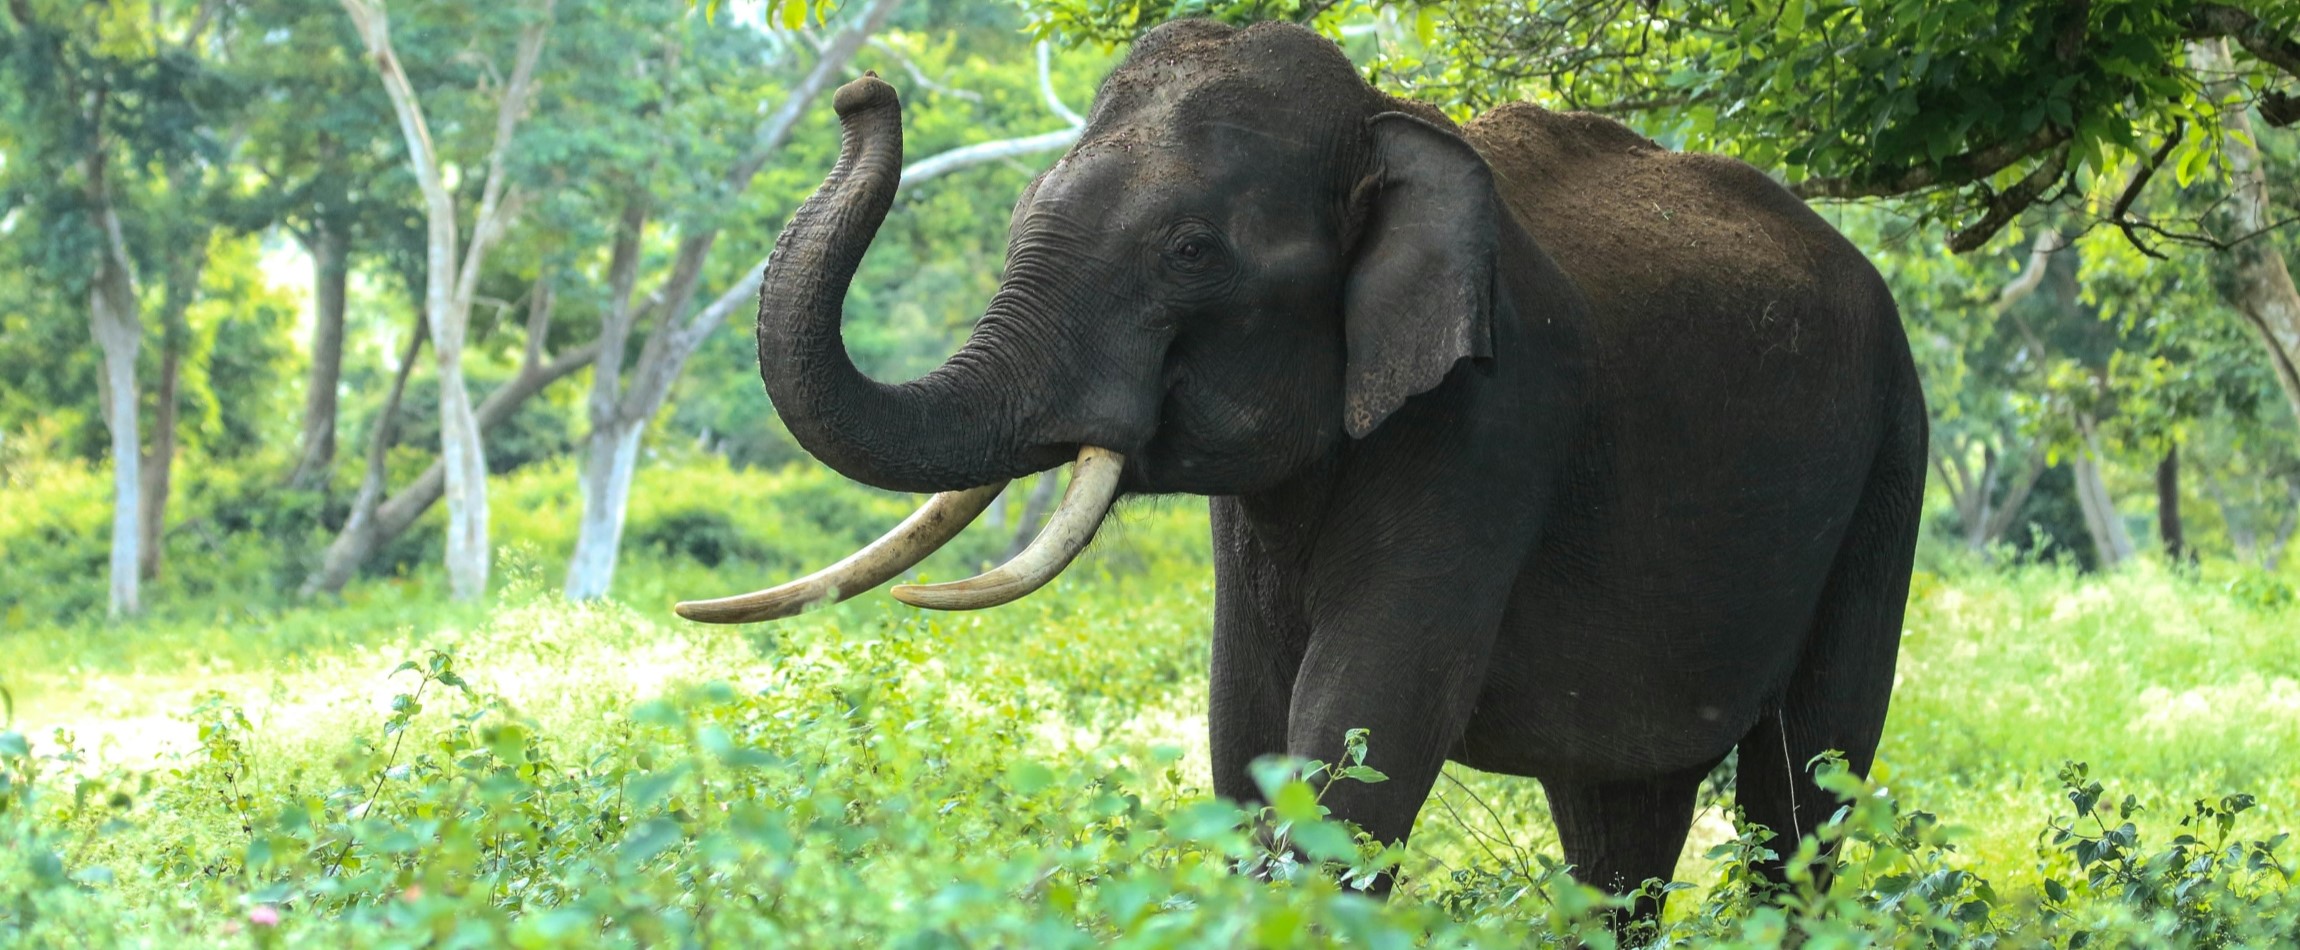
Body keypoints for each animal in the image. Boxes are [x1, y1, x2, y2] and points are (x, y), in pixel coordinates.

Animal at [680, 18, 1926, 917]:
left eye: (1189, 251)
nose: (861, 92)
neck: (1385, 120)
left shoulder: (1491, 421)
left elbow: (1360, 731)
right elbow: (1248, 729)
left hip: (1889, 461)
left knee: (1804, 785)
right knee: (1618, 817)